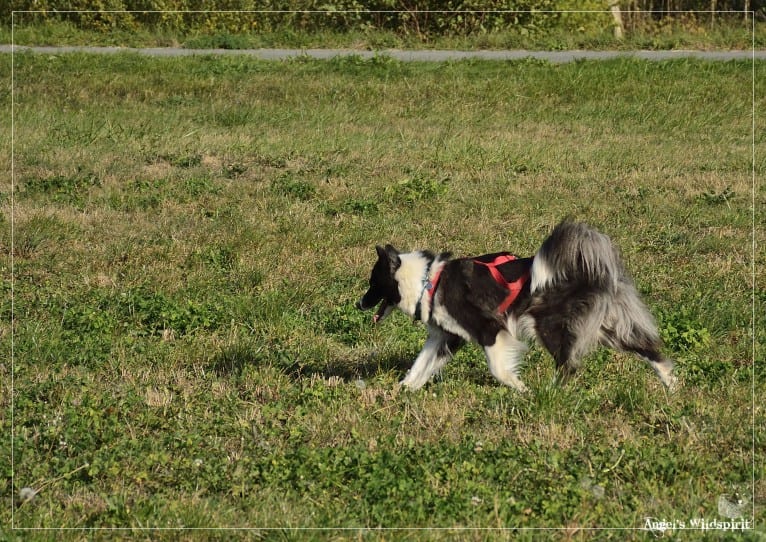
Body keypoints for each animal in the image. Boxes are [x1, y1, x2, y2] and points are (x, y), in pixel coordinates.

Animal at [358, 222, 680, 396]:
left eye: (373, 283)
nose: (358, 303)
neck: (428, 281)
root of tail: (589, 271)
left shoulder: (488, 330)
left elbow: (498, 369)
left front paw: (521, 389)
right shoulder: (445, 337)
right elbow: (419, 366)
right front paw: (402, 390)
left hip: (549, 326)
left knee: (568, 365)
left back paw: (550, 394)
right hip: (604, 329)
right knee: (648, 348)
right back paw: (672, 385)